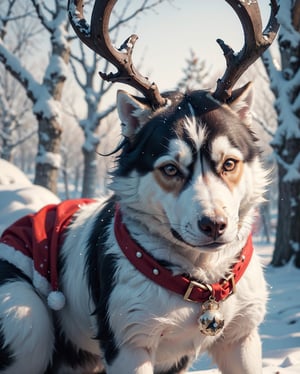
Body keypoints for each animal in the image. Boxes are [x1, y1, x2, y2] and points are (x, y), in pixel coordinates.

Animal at [0, 0, 278, 374]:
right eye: (170, 168)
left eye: (229, 163)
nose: (214, 225)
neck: (199, 281)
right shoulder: (129, 343)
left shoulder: (241, 339)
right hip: (24, 317)